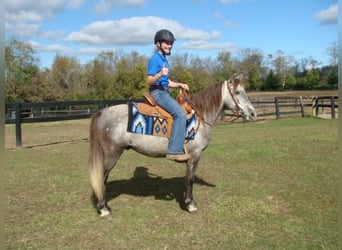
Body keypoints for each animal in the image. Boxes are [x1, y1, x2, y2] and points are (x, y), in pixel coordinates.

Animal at [88, 75, 256, 218]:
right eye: (238, 92)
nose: (253, 113)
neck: (200, 116)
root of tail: (102, 112)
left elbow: (188, 179)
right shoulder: (195, 155)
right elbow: (190, 179)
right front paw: (190, 204)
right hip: (112, 154)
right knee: (102, 177)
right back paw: (103, 209)